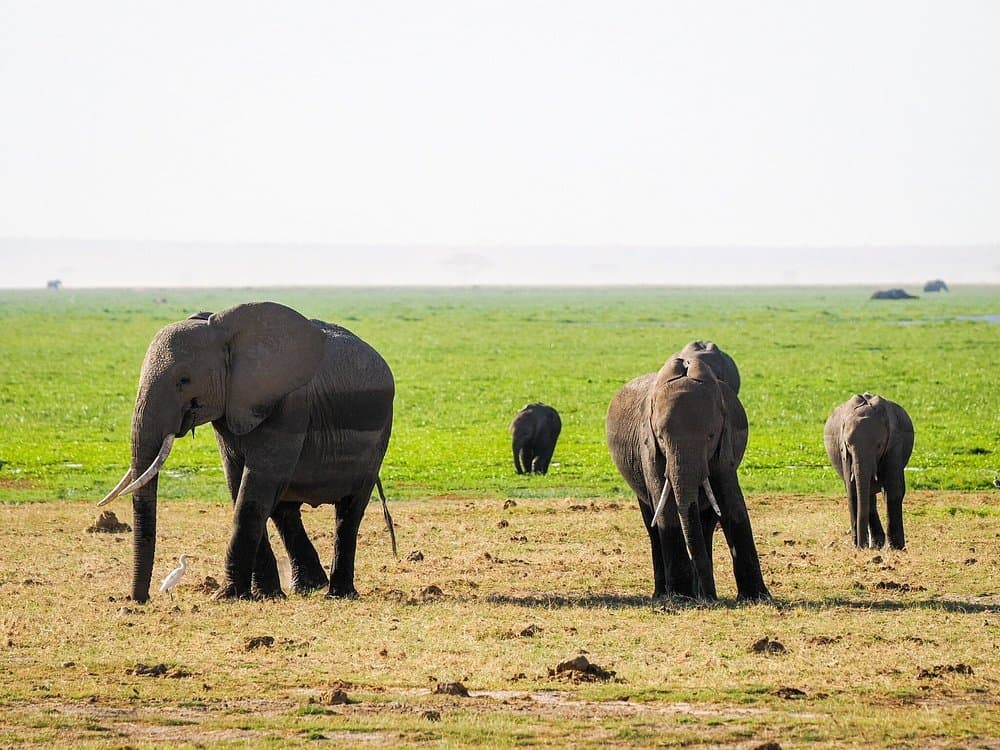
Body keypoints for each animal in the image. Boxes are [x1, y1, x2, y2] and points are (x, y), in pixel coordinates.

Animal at [98, 302, 395, 602]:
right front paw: (264, 596)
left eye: (184, 380)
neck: (225, 333)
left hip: (379, 438)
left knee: (348, 511)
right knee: (285, 511)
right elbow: (238, 485)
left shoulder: (289, 405)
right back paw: (307, 587)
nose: (141, 599)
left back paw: (338, 594)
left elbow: (254, 490)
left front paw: (227, 596)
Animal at [605, 344, 769, 601]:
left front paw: (757, 598)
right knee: (652, 524)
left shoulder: (726, 444)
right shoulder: (648, 447)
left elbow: (733, 505)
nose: (709, 599)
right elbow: (667, 510)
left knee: (707, 523)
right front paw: (682, 597)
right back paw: (663, 595)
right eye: (661, 438)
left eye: (710, 436)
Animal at [823, 393, 914, 549]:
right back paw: (876, 544)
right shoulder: (843, 451)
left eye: (879, 446)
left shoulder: (895, 443)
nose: (861, 545)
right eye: (848, 445)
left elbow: (893, 491)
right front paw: (858, 546)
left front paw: (896, 548)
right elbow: (852, 491)